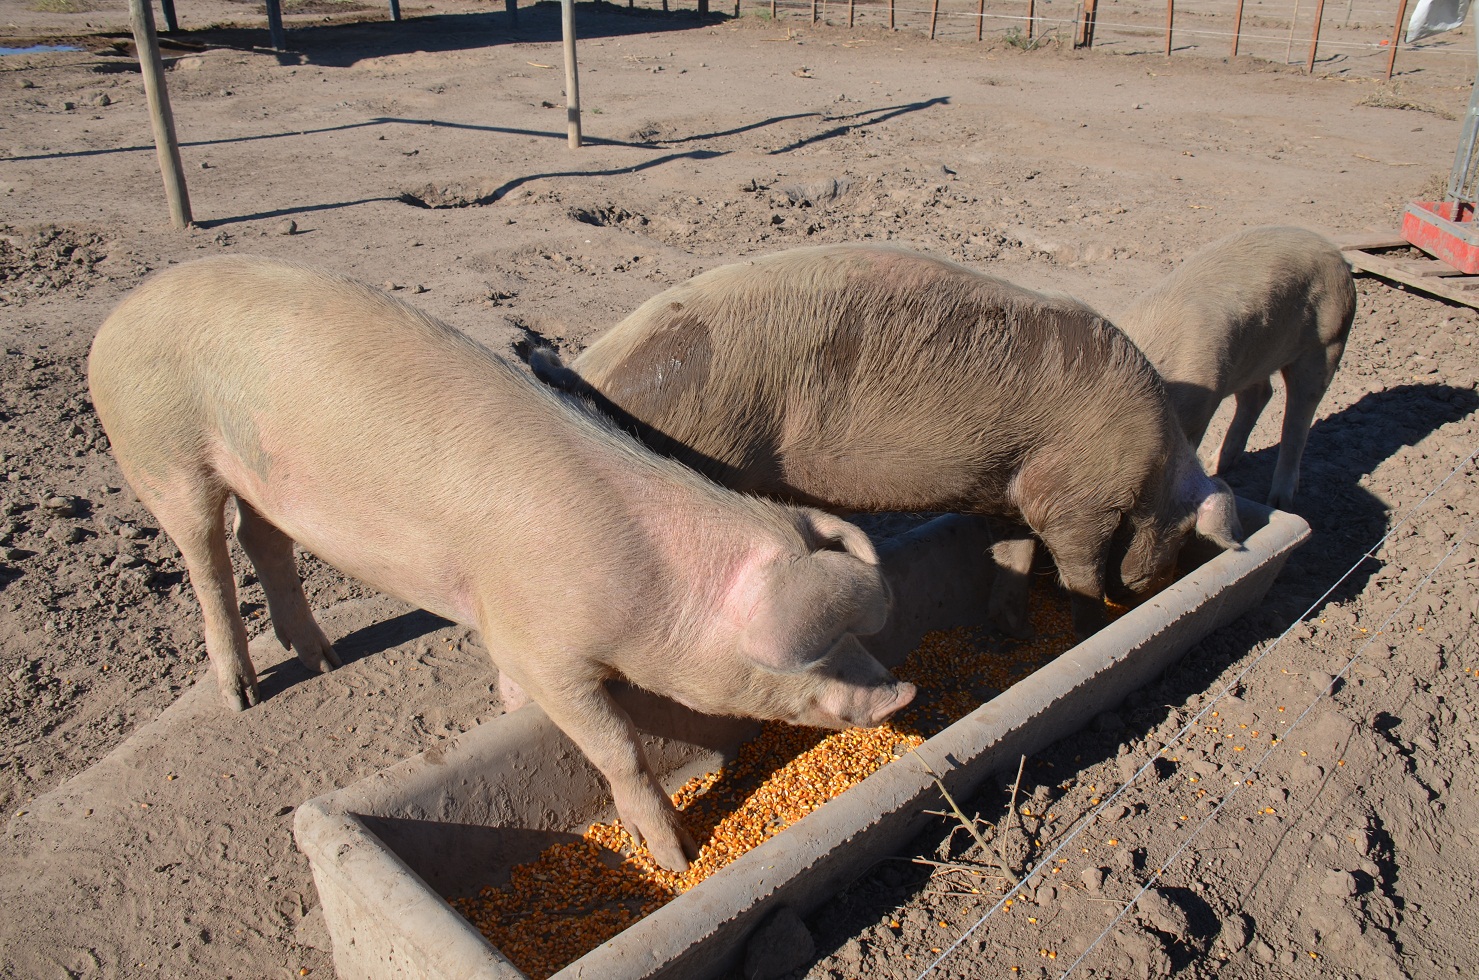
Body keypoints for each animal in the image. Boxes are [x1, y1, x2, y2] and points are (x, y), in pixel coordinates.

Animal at [89, 257, 911, 869]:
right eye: (812, 657)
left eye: (860, 632)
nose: (900, 693)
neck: (659, 587)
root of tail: (118, 313)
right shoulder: (541, 645)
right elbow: (616, 744)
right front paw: (676, 857)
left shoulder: (510, 634)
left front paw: (509, 711)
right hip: (161, 452)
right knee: (206, 559)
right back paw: (245, 696)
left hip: (264, 475)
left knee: (265, 540)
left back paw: (323, 659)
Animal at [532, 243, 1248, 644]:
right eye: (1186, 532)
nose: (1149, 585)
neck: (1155, 464)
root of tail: (590, 370)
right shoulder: (1077, 501)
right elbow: (1078, 572)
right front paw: (1093, 627)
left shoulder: (1013, 490)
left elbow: (1012, 557)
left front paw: (1002, 641)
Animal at [1112, 224, 1354, 508]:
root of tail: (1338, 256)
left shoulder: (1201, 406)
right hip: (1251, 356)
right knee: (1260, 394)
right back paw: (1216, 466)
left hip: (1328, 340)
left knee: (1299, 416)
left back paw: (1278, 501)